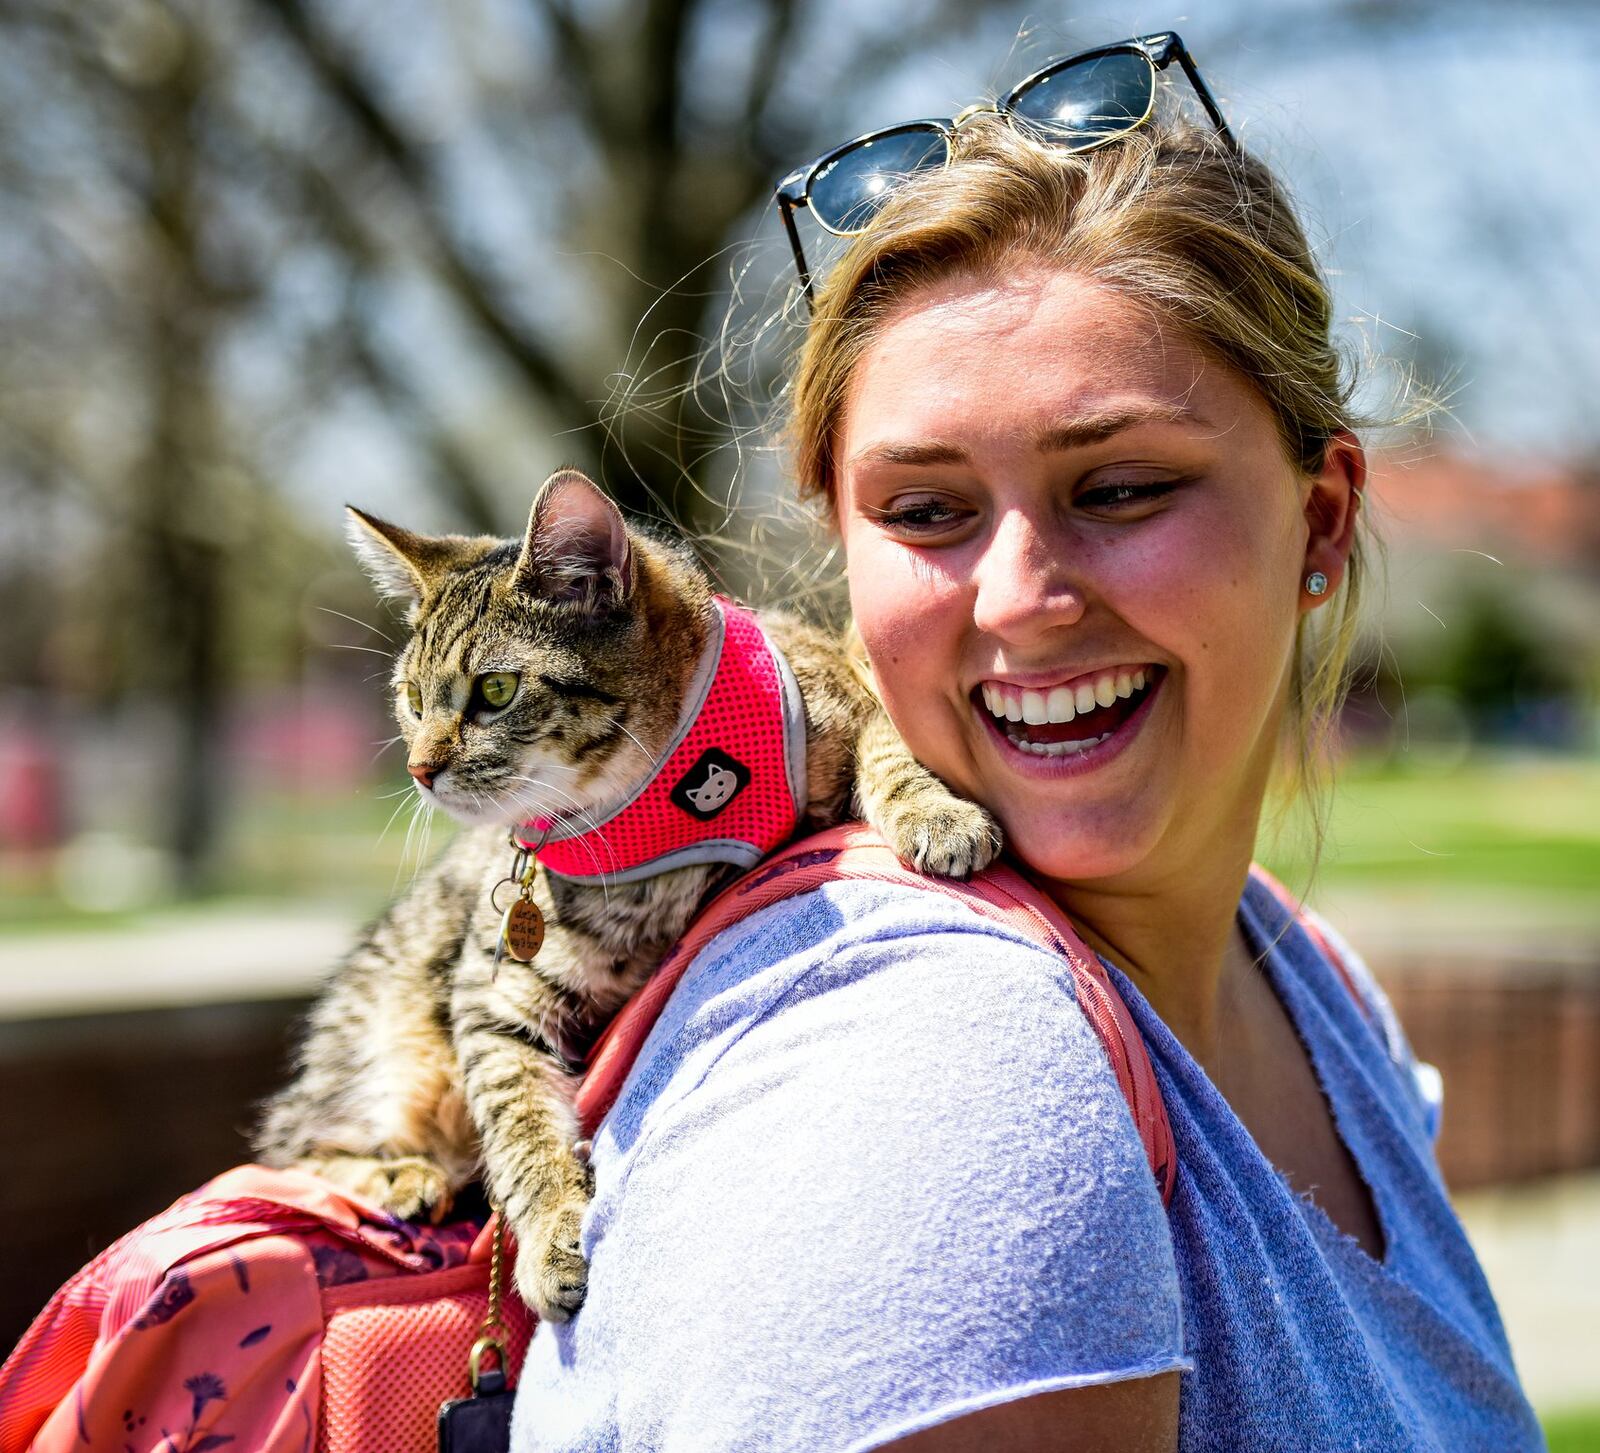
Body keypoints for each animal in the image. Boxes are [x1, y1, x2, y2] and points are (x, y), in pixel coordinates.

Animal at [254, 467, 992, 1318]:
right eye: (411, 697)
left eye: (495, 690)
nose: (420, 765)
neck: (661, 808)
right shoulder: (489, 996)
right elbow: (516, 1122)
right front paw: (550, 1230)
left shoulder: (846, 682)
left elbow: (889, 744)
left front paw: (936, 813)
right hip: (390, 1052)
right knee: (293, 1149)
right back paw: (397, 1176)